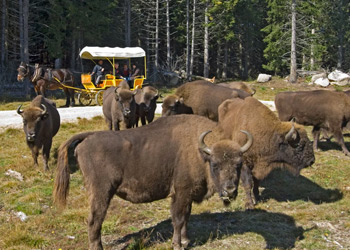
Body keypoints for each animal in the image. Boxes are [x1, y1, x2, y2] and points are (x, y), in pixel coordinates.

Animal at [53, 115, 253, 250]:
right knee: (94, 220)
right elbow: (178, 219)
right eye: (215, 165)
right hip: (101, 192)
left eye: (238, 164)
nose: (230, 190)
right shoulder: (180, 193)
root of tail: (87, 138)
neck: (201, 152)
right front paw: (178, 244)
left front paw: (186, 240)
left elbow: (186, 218)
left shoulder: (187, 196)